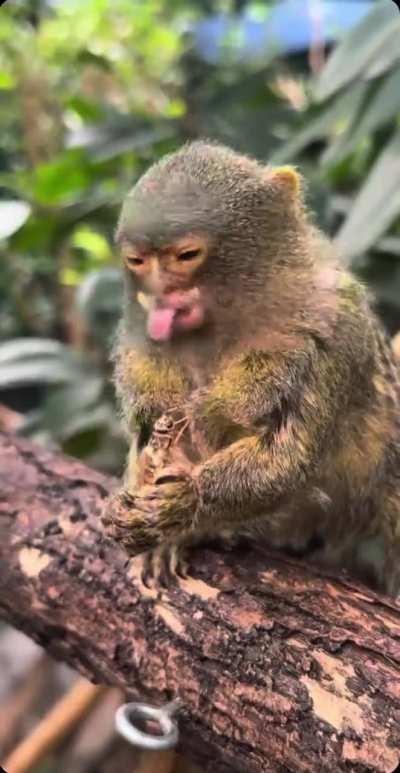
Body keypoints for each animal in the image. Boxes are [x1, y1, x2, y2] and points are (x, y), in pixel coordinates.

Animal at [101, 140, 400, 595]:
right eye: (137, 261)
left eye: (186, 255)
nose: (160, 293)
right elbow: (149, 433)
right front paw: (162, 533)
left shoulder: (329, 328)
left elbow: (287, 458)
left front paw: (181, 505)